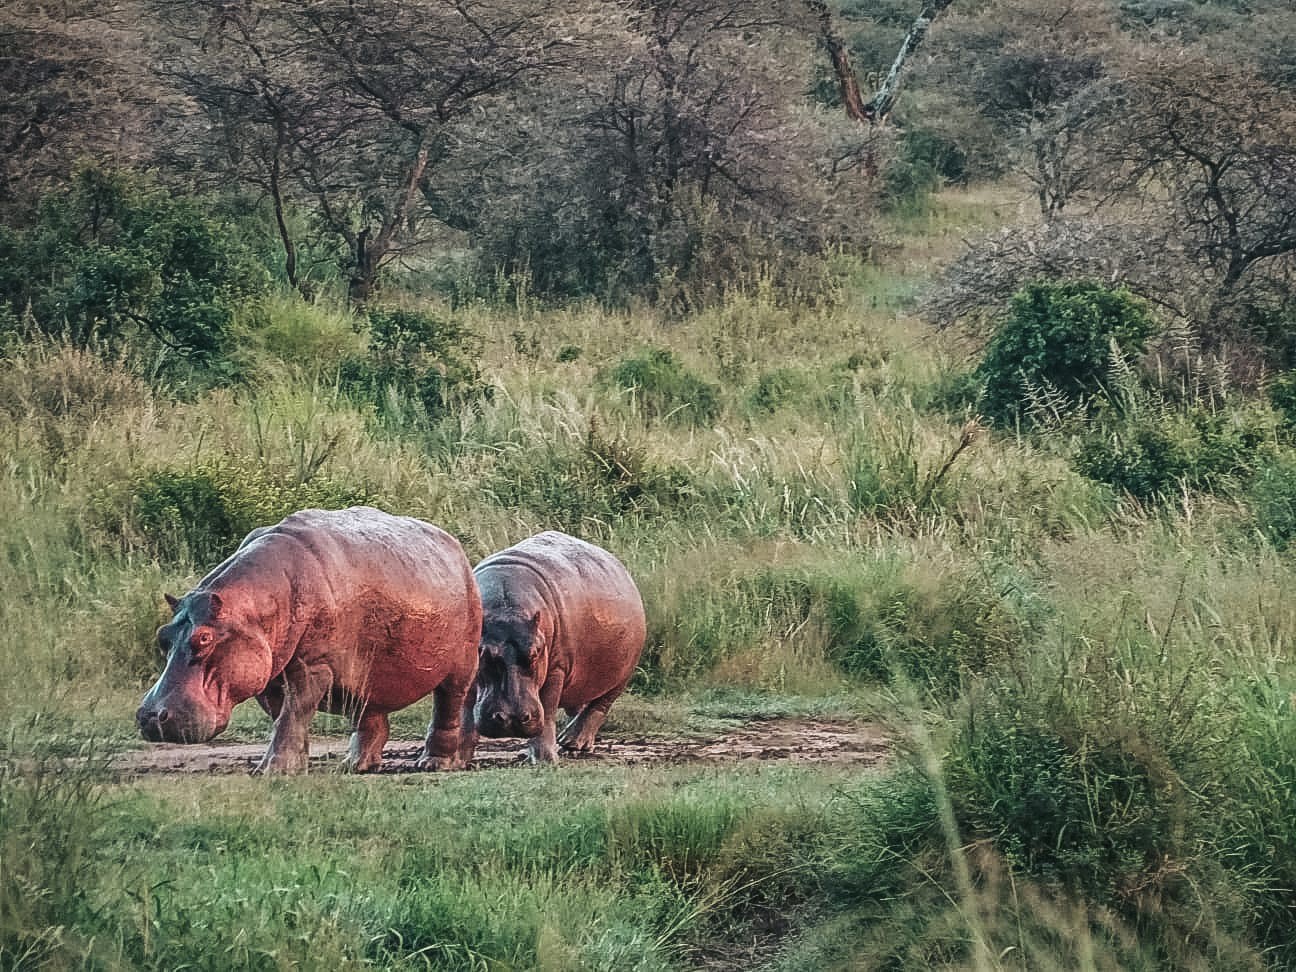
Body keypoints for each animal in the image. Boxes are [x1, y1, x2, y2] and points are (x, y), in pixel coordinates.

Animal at [136, 510, 484, 777]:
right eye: (163, 636)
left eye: (204, 637)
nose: (151, 716)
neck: (258, 605)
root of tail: (455, 549)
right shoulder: (270, 677)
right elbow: (285, 717)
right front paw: (293, 765)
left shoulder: (313, 666)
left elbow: (294, 712)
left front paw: (272, 770)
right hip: (367, 676)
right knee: (371, 718)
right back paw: (355, 765)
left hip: (461, 664)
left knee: (448, 706)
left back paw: (434, 763)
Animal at [469, 533, 645, 767]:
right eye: (483, 652)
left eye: (535, 652)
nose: (511, 719)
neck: (506, 607)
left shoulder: (556, 667)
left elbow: (549, 707)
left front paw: (544, 759)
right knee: (579, 705)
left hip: (623, 673)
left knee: (599, 705)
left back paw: (572, 743)